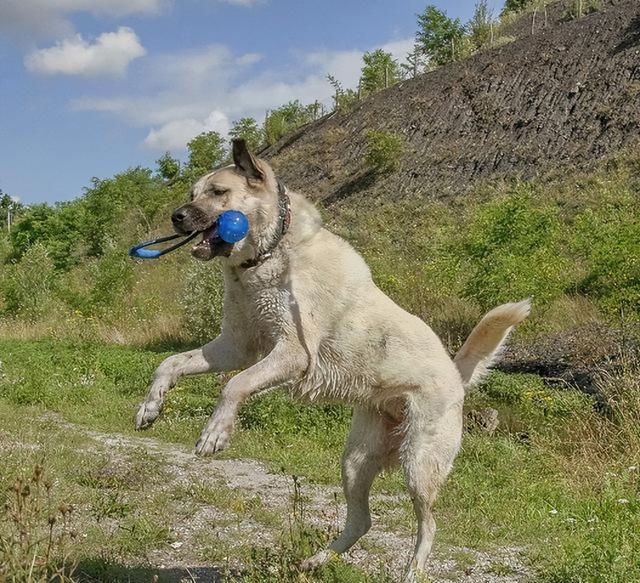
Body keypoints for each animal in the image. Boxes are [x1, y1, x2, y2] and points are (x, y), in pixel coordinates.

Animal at [136, 139, 528, 580]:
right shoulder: (233, 347)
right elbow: (170, 363)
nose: (177, 216)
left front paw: (215, 433)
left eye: (218, 192)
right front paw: (151, 407)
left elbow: (235, 385)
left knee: (428, 524)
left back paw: (412, 570)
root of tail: (455, 373)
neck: (271, 254)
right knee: (362, 521)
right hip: (356, 461)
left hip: (419, 463)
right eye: (192, 194)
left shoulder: (292, 354)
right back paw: (316, 560)